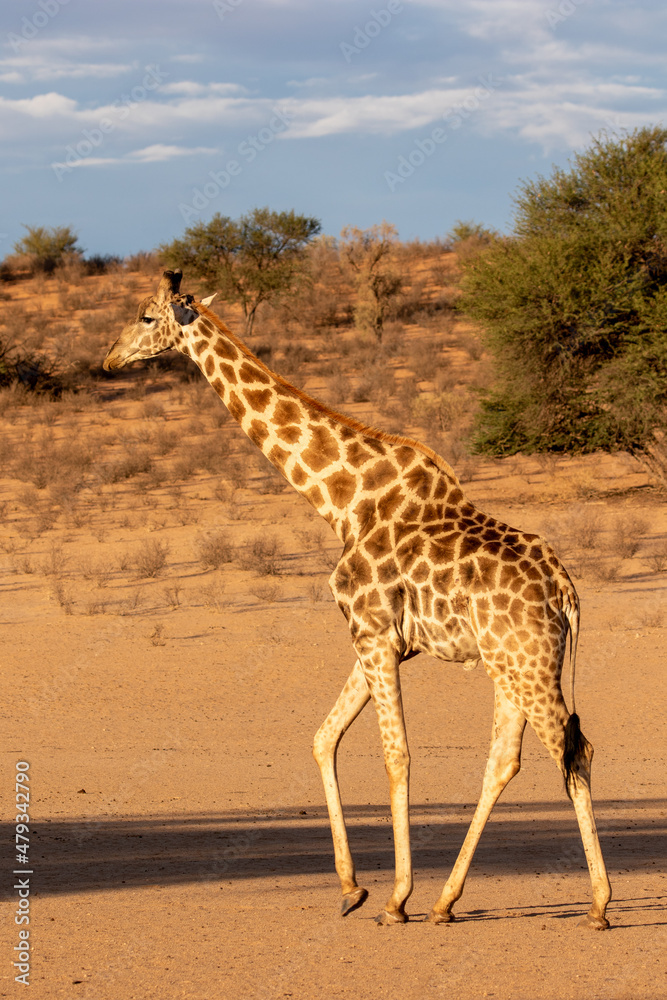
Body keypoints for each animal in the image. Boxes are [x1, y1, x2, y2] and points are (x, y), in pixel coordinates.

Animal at [103, 269, 611, 929]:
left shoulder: (371, 634)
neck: (342, 502)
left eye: (145, 315)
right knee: (506, 759)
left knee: (576, 751)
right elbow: (324, 737)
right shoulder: (379, 638)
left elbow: (396, 755)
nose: (110, 357)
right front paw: (352, 887)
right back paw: (446, 902)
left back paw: (597, 903)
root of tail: (566, 591)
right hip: (510, 664)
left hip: (527, 661)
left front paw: (395, 898)